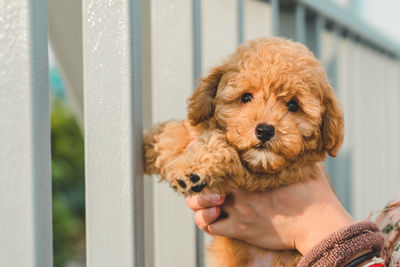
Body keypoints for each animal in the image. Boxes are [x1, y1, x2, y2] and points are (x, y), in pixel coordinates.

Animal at [144, 38, 344, 267]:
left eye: (293, 105)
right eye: (246, 97)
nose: (264, 130)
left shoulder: (265, 177)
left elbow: (223, 150)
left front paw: (193, 170)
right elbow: (180, 131)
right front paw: (150, 143)